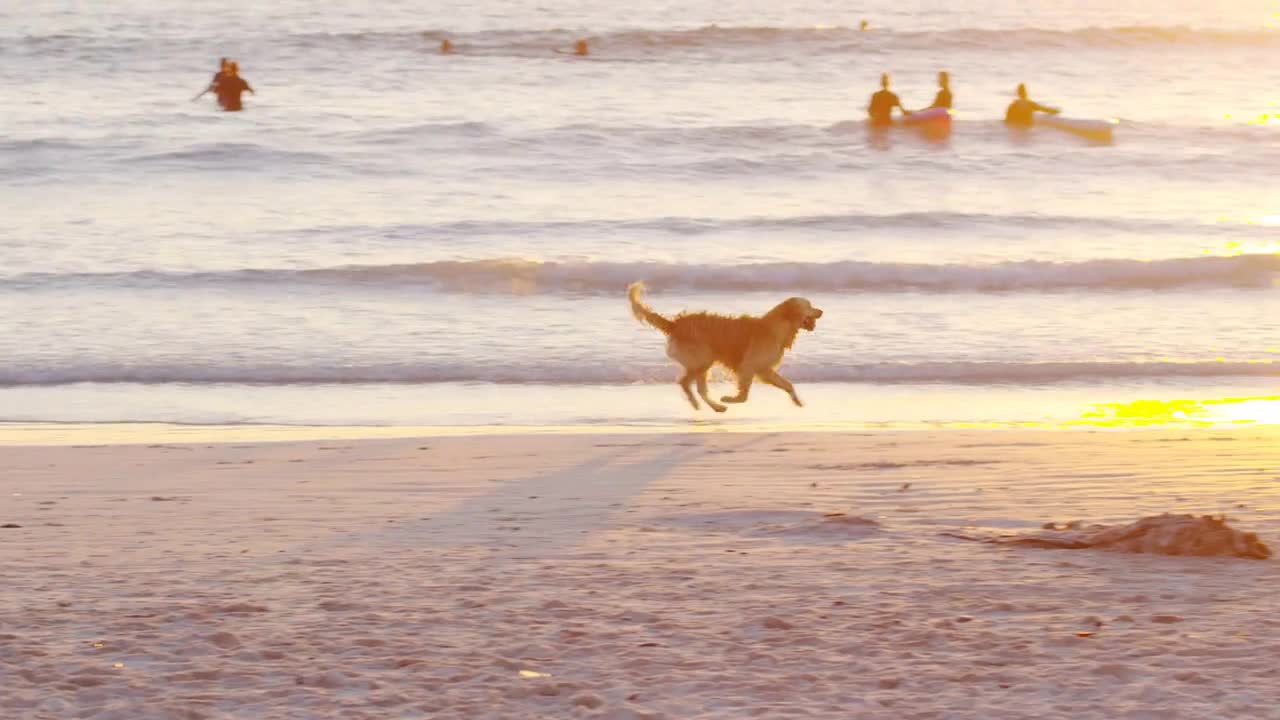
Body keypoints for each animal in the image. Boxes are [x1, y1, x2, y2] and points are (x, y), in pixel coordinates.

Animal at [627, 283, 824, 412]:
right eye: (809, 306)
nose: (822, 311)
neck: (778, 325)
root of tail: (675, 324)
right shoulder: (749, 367)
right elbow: (744, 396)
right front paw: (730, 398)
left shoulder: (764, 369)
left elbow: (788, 384)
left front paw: (797, 401)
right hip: (703, 359)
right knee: (685, 383)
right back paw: (703, 404)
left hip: (702, 362)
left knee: (698, 388)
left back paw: (715, 407)